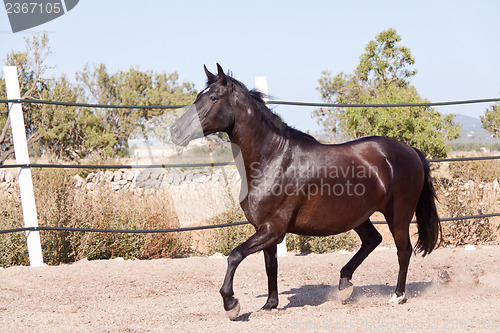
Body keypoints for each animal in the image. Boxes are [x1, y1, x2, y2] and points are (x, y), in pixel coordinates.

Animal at [171, 64, 442, 320]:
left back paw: (397, 296)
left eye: (213, 98)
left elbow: (235, 256)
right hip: (358, 216)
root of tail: (410, 151)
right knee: (372, 240)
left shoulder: (273, 229)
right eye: (198, 96)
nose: (175, 131)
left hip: (399, 215)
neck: (273, 159)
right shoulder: (265, 229)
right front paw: (269, 305)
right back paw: (344, 285)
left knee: (403, 250)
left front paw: (232, 305)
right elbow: (270, 266)